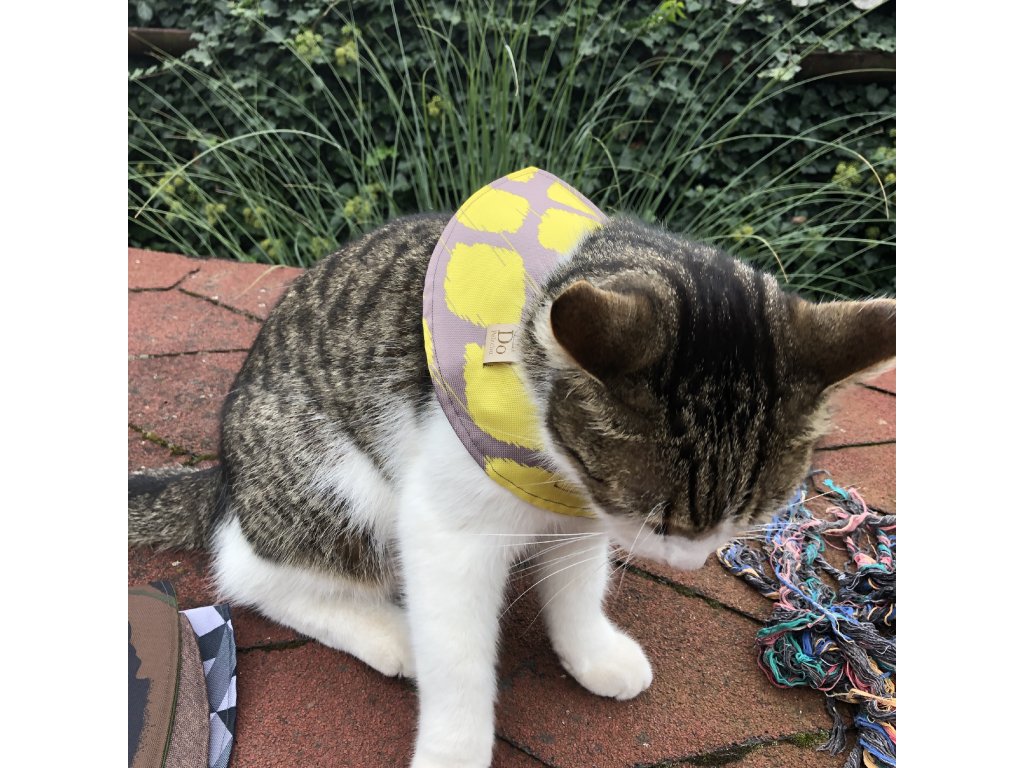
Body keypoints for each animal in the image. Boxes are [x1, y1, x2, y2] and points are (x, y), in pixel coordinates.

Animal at [129, 207, 895, 768]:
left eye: (747, 517)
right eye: (658, 519)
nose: (687, 562)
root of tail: (227, 470)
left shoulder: (581, 507)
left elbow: (578, 585)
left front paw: (592, 651)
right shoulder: (449, 529)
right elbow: (459, 658)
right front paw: (453, 751)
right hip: (332, 479)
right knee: (249, 568)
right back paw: (386, 631)